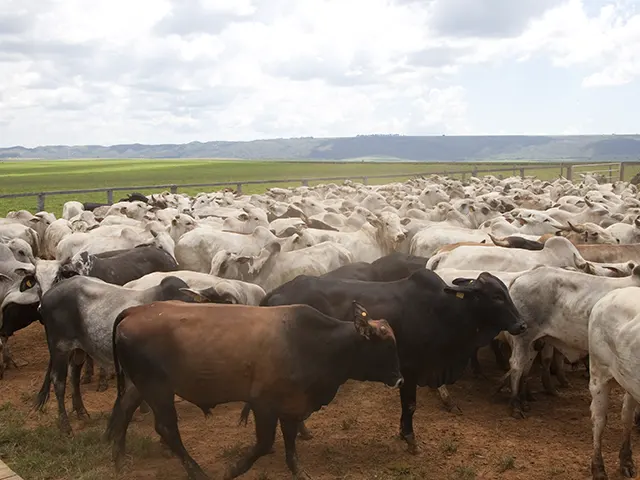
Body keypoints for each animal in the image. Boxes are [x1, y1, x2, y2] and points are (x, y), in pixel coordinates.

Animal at [107, 300, 402, 480]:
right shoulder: (264, 405)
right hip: (158, 388)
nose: (399, 379)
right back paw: (196, 471)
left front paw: (297, 470)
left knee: (124, 410)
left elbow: (290, 440)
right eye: (387, 346)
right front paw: (233, 469)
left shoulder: (291, 404)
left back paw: (119, 460)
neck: (311, 342)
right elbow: (264, 443)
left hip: (140, 386)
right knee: (166, 428)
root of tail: (135, 310)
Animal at [260, 270, 524, 454]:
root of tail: (273, 293)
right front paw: (410, 439)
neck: (443, 310)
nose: (522, 325)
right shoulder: (410, 369)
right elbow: (410, 405)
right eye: (497, 296)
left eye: (506, 292)